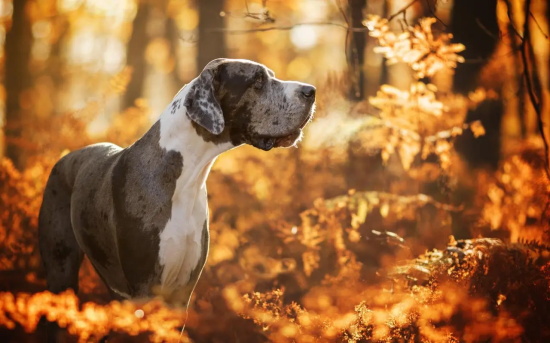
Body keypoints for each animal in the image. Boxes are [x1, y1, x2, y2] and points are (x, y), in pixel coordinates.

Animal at [38, 57, 316, 308]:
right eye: (257, 81)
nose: (311, 91)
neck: (186, 180)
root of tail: (66, 157)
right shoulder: (144, 287)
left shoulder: (183, 292)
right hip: (60, 268)